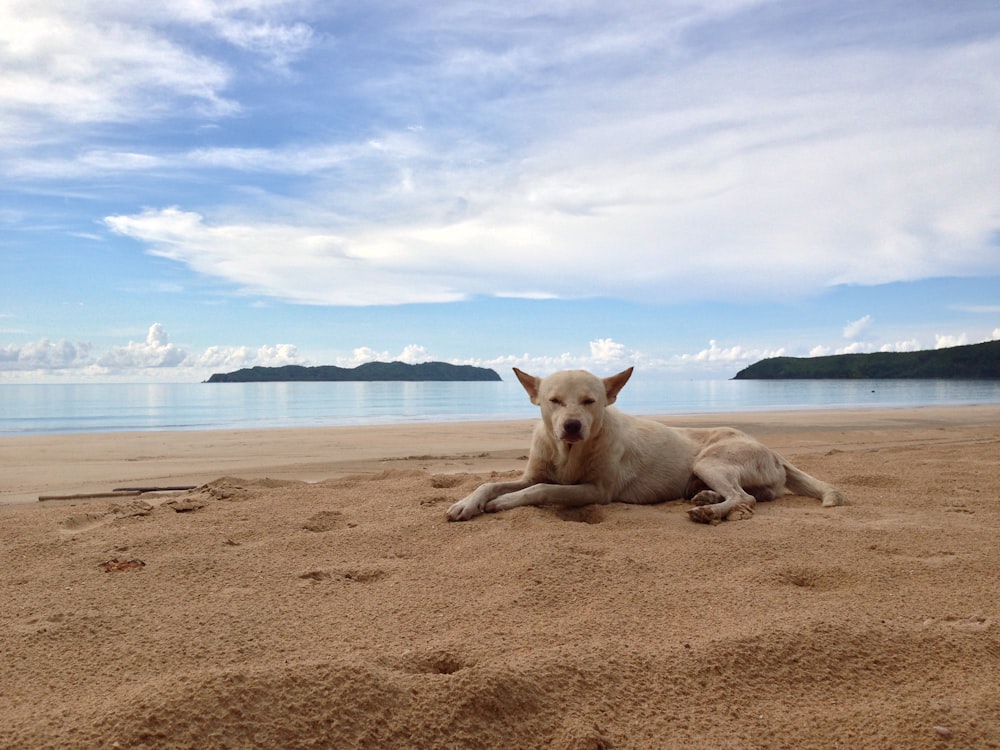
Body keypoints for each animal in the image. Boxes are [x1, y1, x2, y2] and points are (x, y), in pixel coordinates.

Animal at [446, 368, 844, 524]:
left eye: (590, 401)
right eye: (554, 401)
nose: (572, 426)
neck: (569, 453)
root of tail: (773, 451)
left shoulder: (597, 491)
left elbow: (542, 490)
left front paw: (504, 503)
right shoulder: (534, 473)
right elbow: (490, 482)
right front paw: (466, 503)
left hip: (711, 461)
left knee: (744, 497)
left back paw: (709, 510)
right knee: (749, 496)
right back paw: (705, 497)